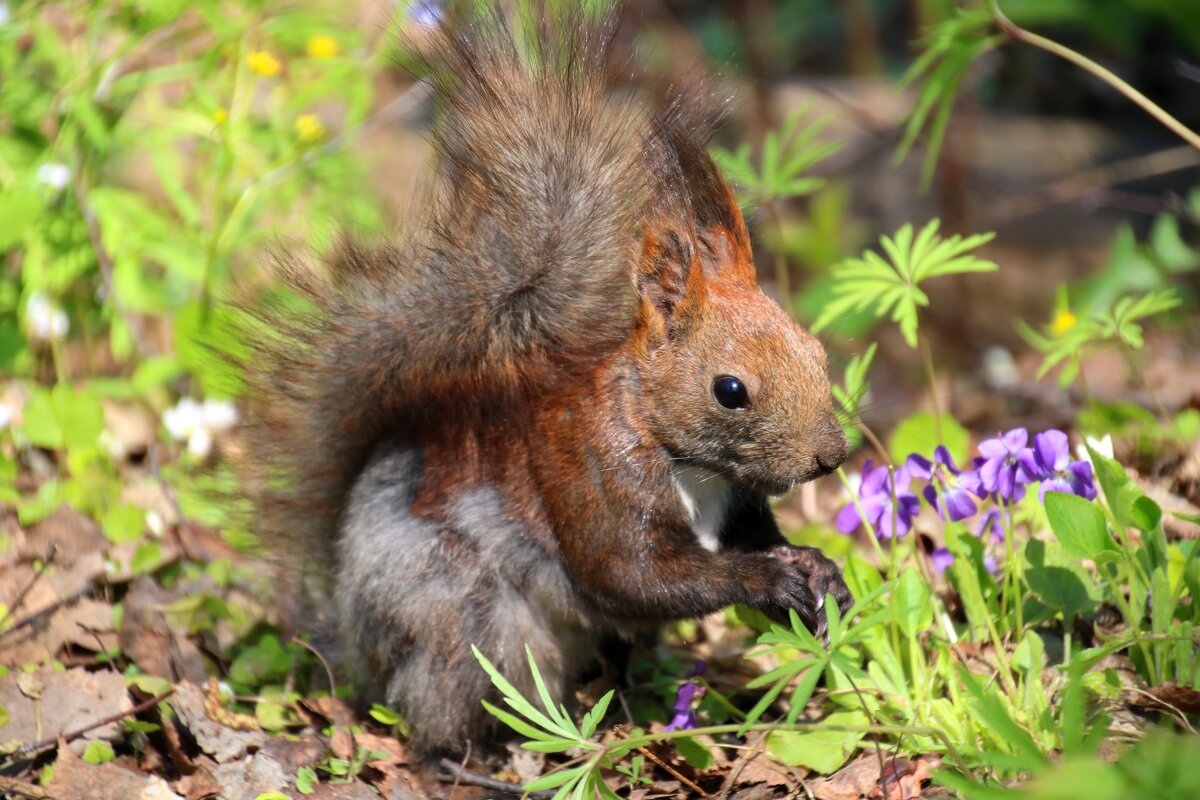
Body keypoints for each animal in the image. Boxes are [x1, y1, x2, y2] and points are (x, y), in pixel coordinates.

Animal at [236, 6, 854, 758]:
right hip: (466, 619)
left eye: (816, 350)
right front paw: (766, 576)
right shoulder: (594, 480)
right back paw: (487, 757)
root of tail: (358, 646)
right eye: (729, 390)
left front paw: (818, 567)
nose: (831, 457)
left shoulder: (736, 500)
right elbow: (635, 577)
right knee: (445, 715)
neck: (683, 457)